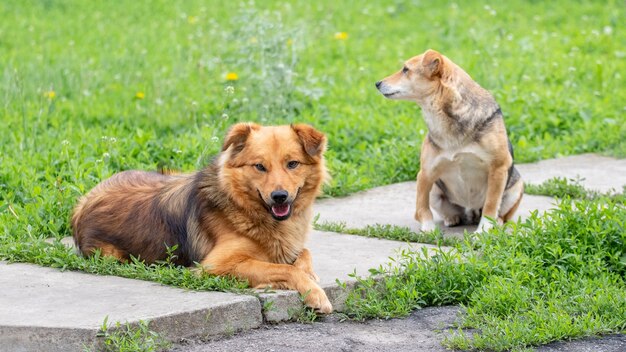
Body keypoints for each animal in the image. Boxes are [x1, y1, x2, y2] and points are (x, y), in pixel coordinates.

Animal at [72, 123, 332, 314]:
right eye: (259, 166)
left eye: (292, 164)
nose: (280, 197)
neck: (245, 208)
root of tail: (83, 202)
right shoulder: (214, 266)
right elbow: (284, 269)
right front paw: (315, 293)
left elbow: (303, 254)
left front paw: (308, 274)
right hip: (111, 255)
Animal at [376, 48, 520, 232]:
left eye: (405, 69)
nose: (377, 83)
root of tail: (471, 210)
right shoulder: (426, 172)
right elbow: (421, 207)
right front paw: (428, 228)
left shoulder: (499, 167)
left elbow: (491, 205)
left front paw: (483, 231)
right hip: (435, 190)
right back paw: (452, 218)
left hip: (516, 187)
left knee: (501, 213)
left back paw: (498, 222)